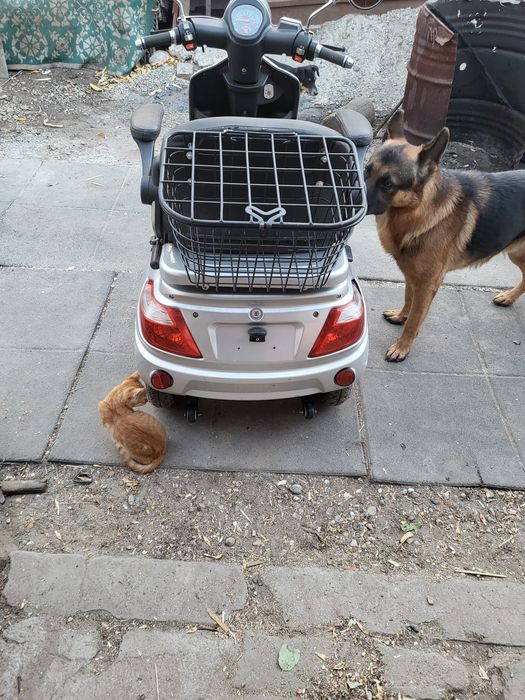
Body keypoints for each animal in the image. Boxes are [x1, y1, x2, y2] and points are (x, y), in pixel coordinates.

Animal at [365, 109, 525, 362]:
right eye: (366, 170)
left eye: (388, 183)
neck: (419, 209)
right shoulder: (412, 274)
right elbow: (408, 299)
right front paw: (401, 316)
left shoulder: (428, 283)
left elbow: (415, 320)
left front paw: (402, 347)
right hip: (516, 252)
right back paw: (508, 297)